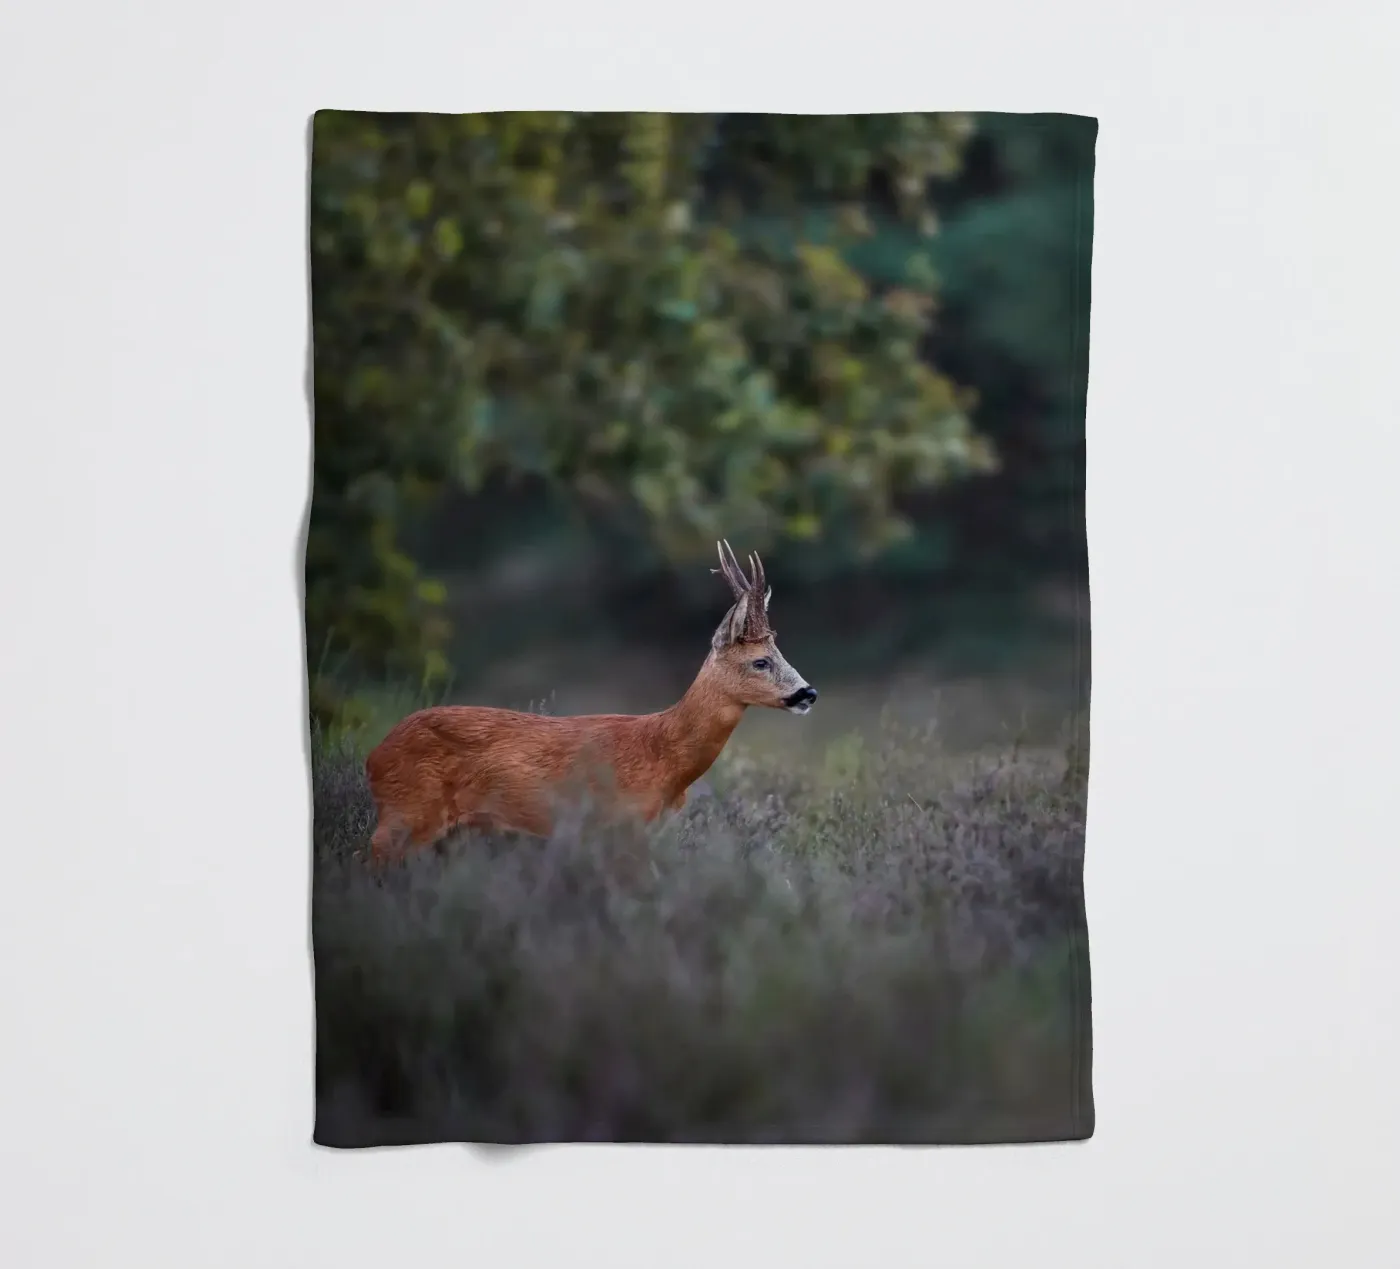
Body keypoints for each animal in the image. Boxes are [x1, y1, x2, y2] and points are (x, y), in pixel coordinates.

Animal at [363, 540, 818, 863]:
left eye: (779, 652)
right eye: (760, 661)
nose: (808, 693)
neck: (663, 756)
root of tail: (374, 757)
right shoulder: (617, 825)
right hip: (408, 812)